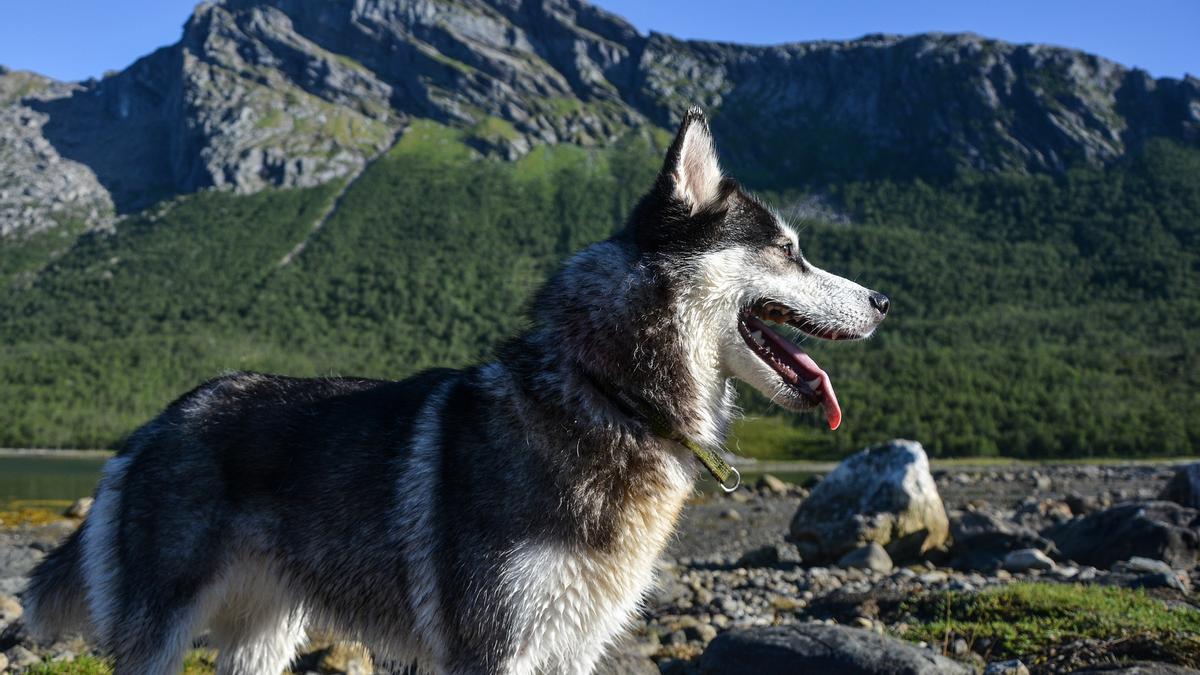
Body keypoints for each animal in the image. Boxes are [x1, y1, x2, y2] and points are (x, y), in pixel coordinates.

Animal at [23, 107, 892, 667]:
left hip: (264, 639)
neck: (610, 395)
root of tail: (154, 424)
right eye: (788, 251)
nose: (885, 300)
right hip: (162, 637)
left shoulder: (568, 648)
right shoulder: (493, 646)